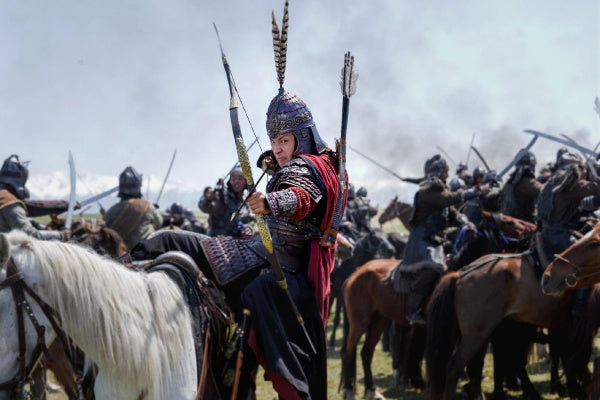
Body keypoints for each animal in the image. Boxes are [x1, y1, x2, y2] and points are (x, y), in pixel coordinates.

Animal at [340, 211, 536, 398]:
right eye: (509, 221)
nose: (533, 228)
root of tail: (356, 273)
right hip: (359, 321)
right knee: (349, 350)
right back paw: (349, 390)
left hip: (378, 320)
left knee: (366, 352)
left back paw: (372, 390)